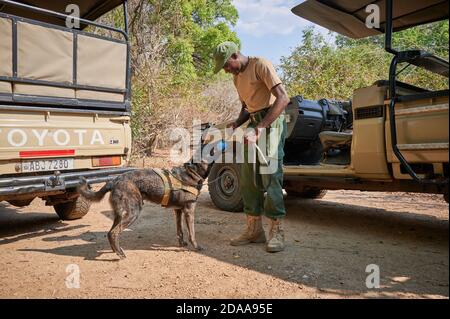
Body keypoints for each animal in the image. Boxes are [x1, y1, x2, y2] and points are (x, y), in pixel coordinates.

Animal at [78, 160, 214, 260]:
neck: (192, 173)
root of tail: (114, 180)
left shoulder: (178, 211)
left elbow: (179, 231)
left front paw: (182, 244)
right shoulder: (189, 212)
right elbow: (192, 233)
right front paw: (196, 247)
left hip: (120, 215)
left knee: (110, 232)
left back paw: (115, 250)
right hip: (133, 213)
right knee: (113, 232)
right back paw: (120, 254)